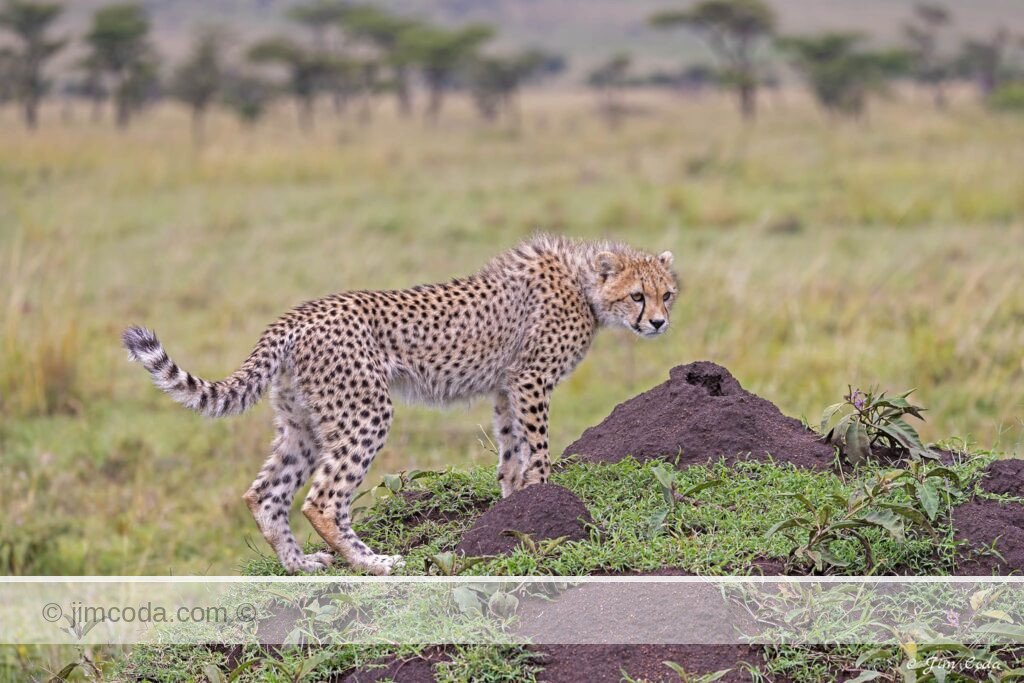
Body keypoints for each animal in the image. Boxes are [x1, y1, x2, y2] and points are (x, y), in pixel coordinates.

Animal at [122, 234, 678, 575]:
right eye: (637, 296)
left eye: (667, 294)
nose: (659, 323)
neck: (584, 283)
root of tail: (297, 315)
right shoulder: (530, 380)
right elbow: (536, 450)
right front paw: (542, 498)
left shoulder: (505, 387)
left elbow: (509, 455)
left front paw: (511, 506)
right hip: (366, 411)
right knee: (322, 500)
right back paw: (373, 563)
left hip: (303, 422)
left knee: (264, 493)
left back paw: (300, 565)